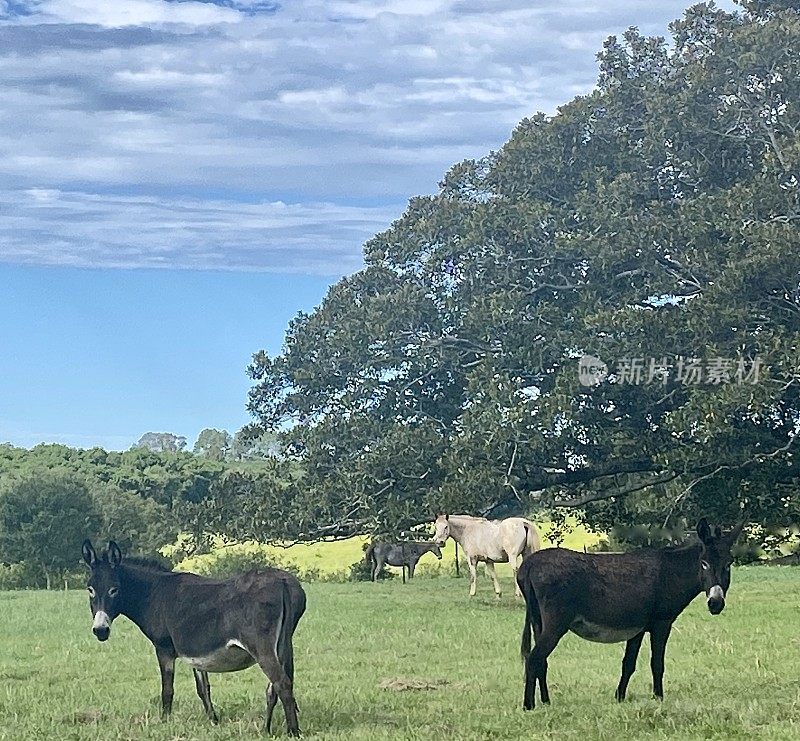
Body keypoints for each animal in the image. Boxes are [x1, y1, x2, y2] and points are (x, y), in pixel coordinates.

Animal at [83, 536, 304, 736]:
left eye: (114, 590)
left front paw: (164, 723)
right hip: (284, 644)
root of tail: (282, 581)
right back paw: (267, 729)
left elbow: (167, 690)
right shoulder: (196, 653)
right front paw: (213, 721)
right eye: (90, 589)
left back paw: (293, 732)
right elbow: (203, 688)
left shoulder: (164, 648)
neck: (153, 595)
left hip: (261, 646)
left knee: (282, 683)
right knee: (277, 686)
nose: (100, 630)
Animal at [520, 516, 744, 708]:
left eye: (728, 564)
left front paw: (619, 697)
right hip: (556, 624)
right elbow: (657, 663)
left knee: (541, 661)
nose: (715, 604)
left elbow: (628, 664)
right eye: (704, 564)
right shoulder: (661, 623)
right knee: (534, 658)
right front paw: (658, 698)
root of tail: (529, 565)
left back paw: (546, 701)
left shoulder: (637, 628)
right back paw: (528, 706)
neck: (671, 573)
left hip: (538, 621)